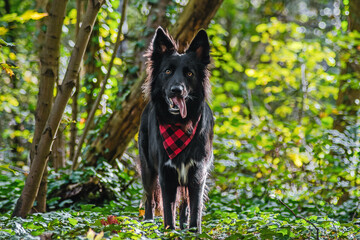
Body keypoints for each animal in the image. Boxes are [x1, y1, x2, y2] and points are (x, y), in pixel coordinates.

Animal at [139, 26, 214, 232]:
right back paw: (148, 223)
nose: (176, 90)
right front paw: (170, 231)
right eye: (167, 71)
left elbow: (194, 208)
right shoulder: (166, 174)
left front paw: (193, 231)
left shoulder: (197, 173)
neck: (181, 124)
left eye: (189, 74)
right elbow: (167, 209)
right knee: (149, 198)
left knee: (185, 204)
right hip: (147, 167)